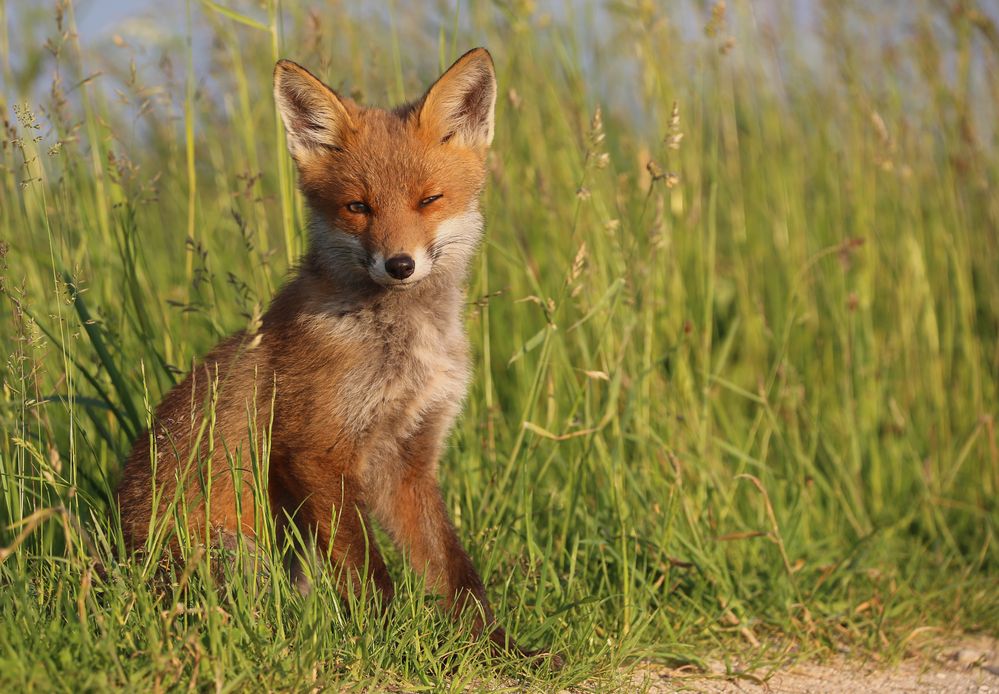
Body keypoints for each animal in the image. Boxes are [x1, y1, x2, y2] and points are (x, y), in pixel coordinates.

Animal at [116, 47, 540, 656]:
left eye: (429, 199)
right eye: (357, 207)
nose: (400, 264)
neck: (399, 350)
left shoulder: (408, 459)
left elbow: (453, 569)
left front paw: (498, 648)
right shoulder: (312, 450)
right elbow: (369, 573)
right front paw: (391, 644)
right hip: (240, 556)